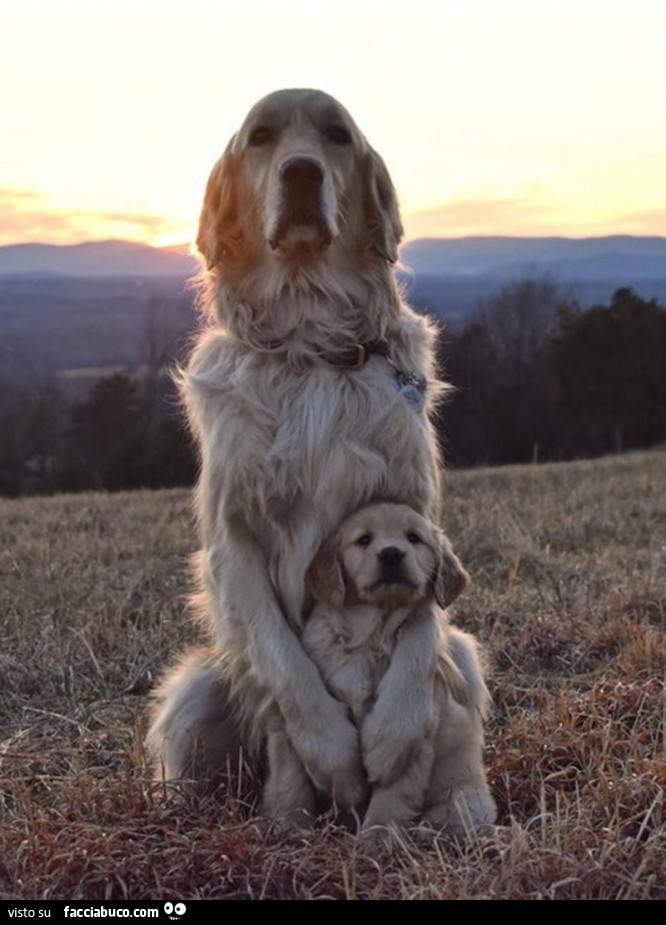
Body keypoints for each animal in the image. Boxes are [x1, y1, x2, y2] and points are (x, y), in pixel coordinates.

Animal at [148, 90, 448, 804]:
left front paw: (394, 733)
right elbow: (280, 655)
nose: (302, 172)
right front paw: (331, 752)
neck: (310, 340)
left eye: (337, 136)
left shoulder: (416, 509)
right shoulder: (234, 541)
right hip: (198, 692)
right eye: (261, 137)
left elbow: (421, 630)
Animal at [262, 502, 496, 832]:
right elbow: (291, 780)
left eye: (414, 538)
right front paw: (288, 830)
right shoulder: (289, 724)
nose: (391, 554)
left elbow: (392, 796)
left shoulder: (412, 741)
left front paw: (376, 839)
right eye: (363, 540)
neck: (368, 632)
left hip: (465, 800)